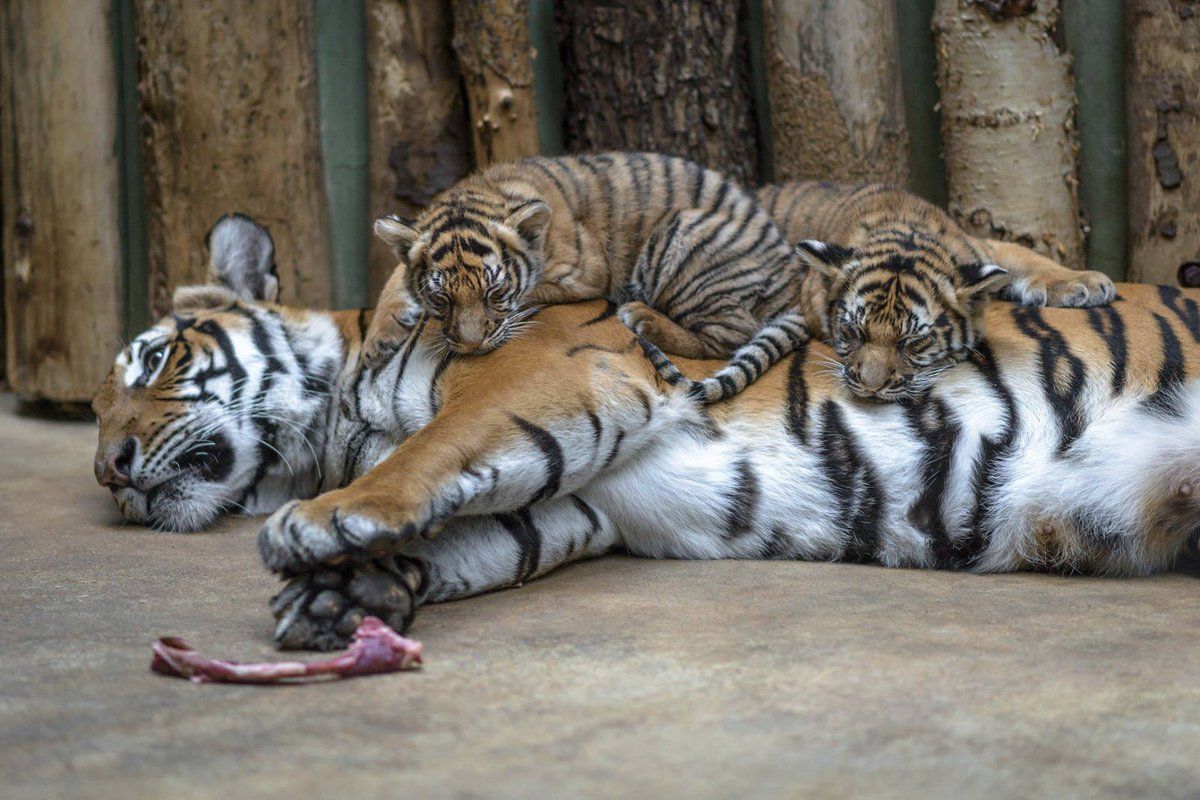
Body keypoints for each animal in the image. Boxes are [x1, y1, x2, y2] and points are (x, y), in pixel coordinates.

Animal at [93, 217, 1200, 652]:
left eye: (149, 357)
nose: (107, 467)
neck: (339, 419)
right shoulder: (581, 499)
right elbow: (470, 534)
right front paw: (339, 595)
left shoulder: (549, 375)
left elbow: (431, 451)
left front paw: (321, 526)